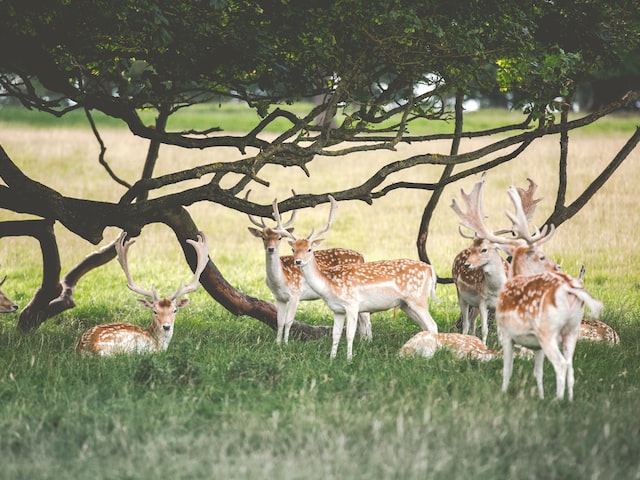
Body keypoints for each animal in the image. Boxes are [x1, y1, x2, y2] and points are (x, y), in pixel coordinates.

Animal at [248, 191, 372, 344]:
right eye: (263, 237)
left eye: (279, 238)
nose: (271, 249)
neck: (280, 279)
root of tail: (362, 256)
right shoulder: (279, 297)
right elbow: (279, 322)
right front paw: (277, 344)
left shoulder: (295, 294)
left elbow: (289, 321)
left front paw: (286, 344)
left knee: (366, 317)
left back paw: (368, 342)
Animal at [272, 195, 438, 360]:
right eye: (293, 249)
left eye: (309, 249)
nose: (298, 261)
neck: (329, 285)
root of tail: (430, 269)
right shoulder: (337, 309)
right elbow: (336, 334)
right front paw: (332, 358)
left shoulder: (352, 304)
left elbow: (350, 334)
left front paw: (349, 359)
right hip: (405, 304)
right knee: (425, 326)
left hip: (418, 299)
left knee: (432, 325)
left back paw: (433, 356)